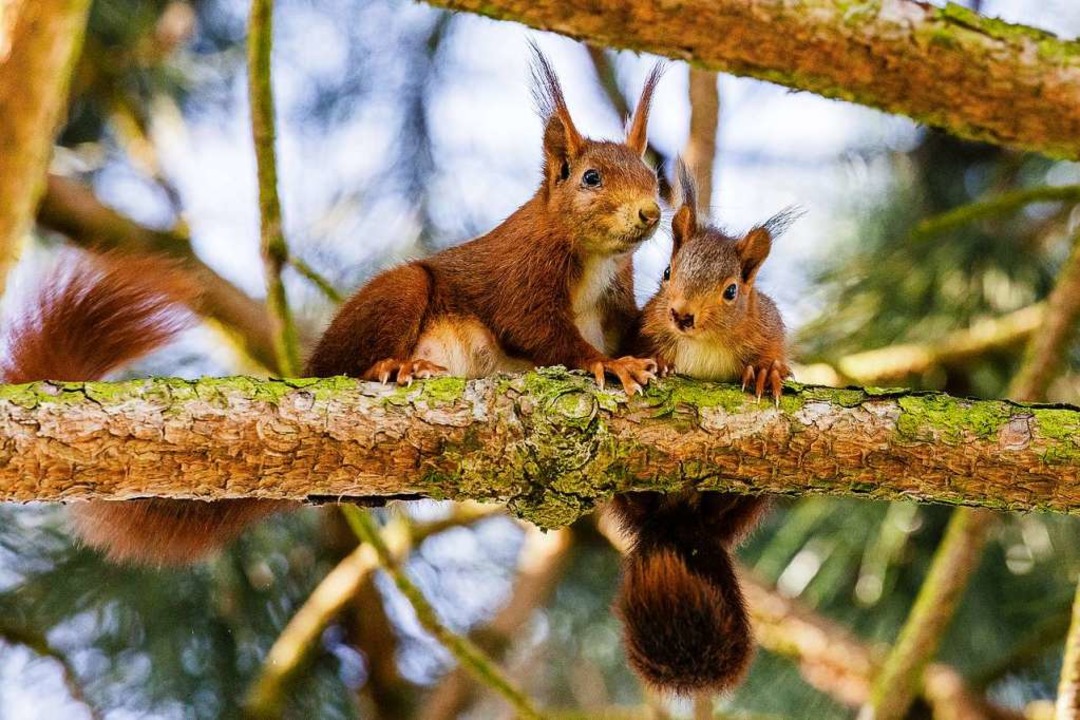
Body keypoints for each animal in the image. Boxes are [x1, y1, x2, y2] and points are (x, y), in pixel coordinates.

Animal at [69, 45, 665, 569]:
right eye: (590, 178)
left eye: (653, 177)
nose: (651, 213)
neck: (595, 258)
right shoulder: (522, 271)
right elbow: (536, 330)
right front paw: (609, 364)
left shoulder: (616, 301)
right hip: (397, 295)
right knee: (354, 360)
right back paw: (391, 366)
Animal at [613, 161, 799, 690]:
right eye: (666, 273)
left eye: (732, 290)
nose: (681, 315)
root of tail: (679, 525)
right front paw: (660, 365)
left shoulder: (769, 327)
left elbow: (772, 355)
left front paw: (768, 373)